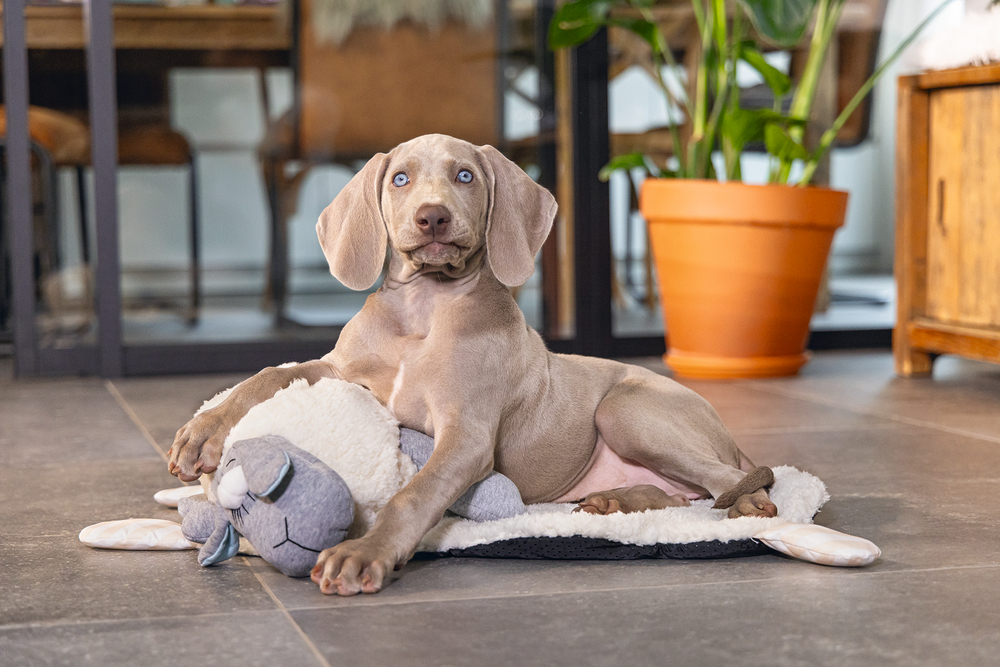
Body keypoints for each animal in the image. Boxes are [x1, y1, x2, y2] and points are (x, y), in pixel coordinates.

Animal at [168, 133, 772, 596]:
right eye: (400, 179)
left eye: (464, 176)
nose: (432, 218)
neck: (423, 310)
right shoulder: (341, 372)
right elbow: (270, 375)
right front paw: (202, 434)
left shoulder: (467, 435)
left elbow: (415, 493)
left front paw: (364, 553)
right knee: (676, 494)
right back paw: (611, 503)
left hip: (625, 410)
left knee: (730, 482)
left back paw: (750, 508)